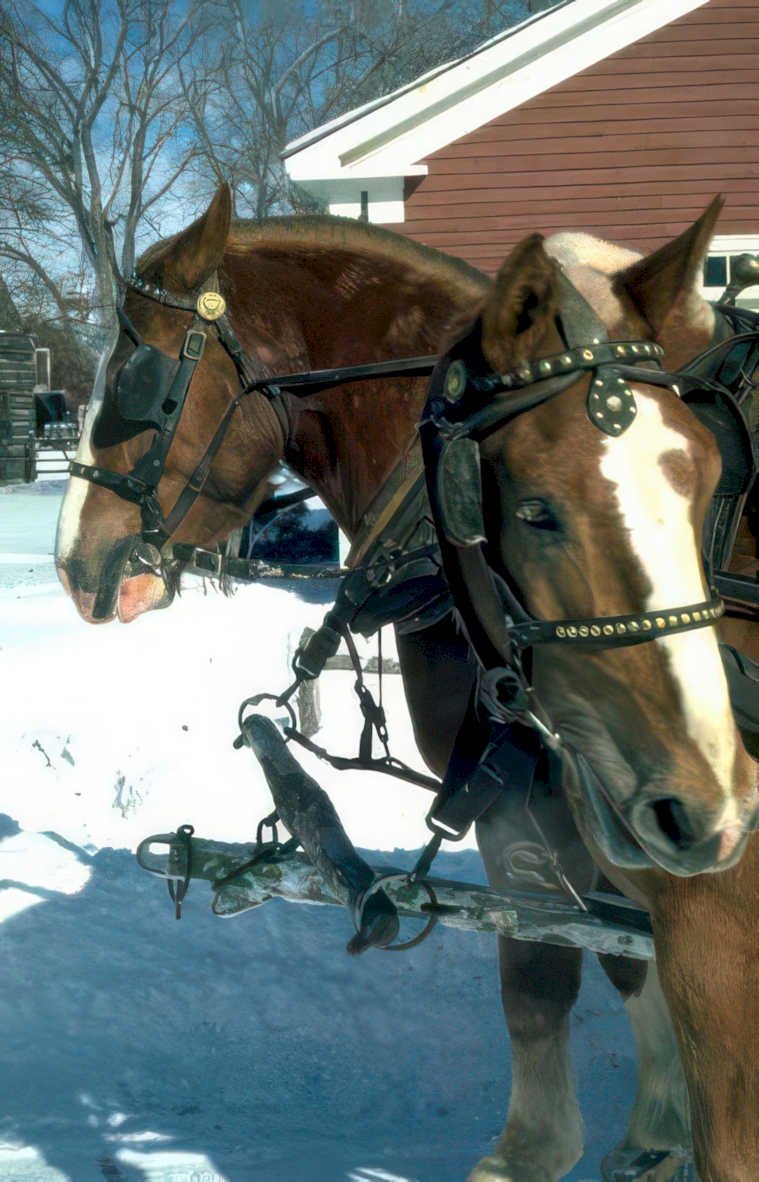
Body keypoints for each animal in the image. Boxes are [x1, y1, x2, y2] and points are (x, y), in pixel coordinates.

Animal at [55, 186, 758, 1182]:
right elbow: (595, 962)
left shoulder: (675, 875)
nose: (75, 561)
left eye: (133, 381)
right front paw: (651, 1129)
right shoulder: (571, 813)